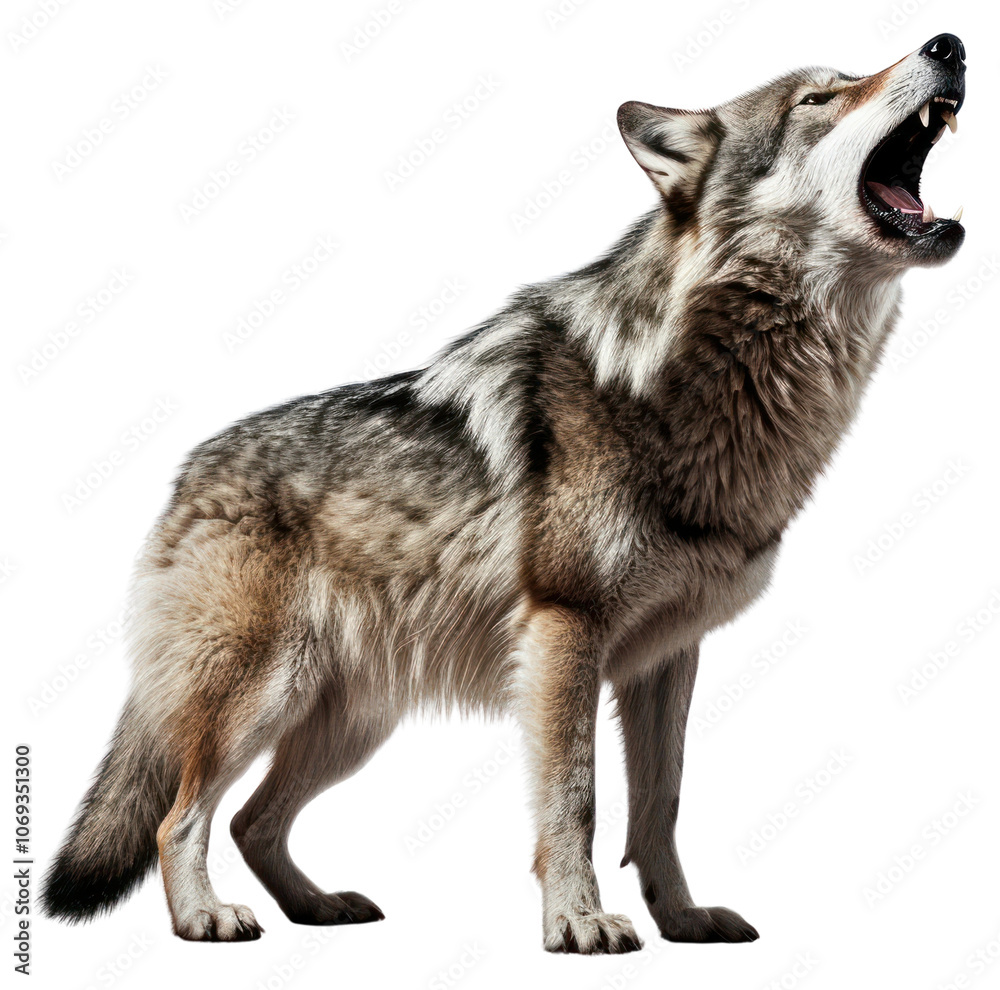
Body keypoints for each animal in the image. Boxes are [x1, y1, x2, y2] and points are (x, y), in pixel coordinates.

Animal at [42, 34, 966, 952]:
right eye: (819, 99)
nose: (949, 44)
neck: (697, 383)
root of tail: (186, 474)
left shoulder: (667, 658)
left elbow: (660, 804)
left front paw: (682, 919)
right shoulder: (565, 630)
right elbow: (576, 798)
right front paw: (579, 922)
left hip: (350, 727)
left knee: (252, 821)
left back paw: (318, 908)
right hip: (263, 697)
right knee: (179, 817)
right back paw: (206, 918)